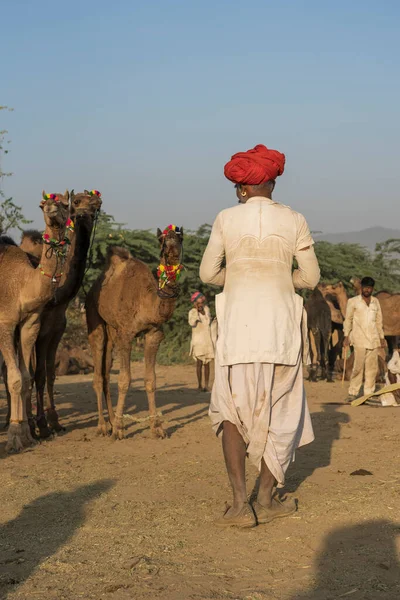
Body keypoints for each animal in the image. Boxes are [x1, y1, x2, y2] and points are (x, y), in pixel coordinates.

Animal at [0, 192, 69, 450]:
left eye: (64, 204)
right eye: (43, 204)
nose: (51, 208)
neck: (23, 284)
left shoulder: (30, 323)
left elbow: (26, 376)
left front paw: (25, 433)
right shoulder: (5, 323)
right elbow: (15, 378)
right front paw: (14, 436)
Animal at [33, 189, 102, 436]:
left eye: (96, 203)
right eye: (77, 201)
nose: (83, 214)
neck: (57, 298)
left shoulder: (56, 331)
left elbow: (50, 374)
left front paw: (54, 422)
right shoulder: (38, 331)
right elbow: (36, 374)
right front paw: (41, 425)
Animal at [86, 223, 184, 438]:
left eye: (180, 238)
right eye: (162, 240)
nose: (172, 248)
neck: (146, 302)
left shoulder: (153, 334)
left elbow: (151, 380)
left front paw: (157, 428)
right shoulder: (126, 334)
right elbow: (124, 380)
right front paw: (119, 430)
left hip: (112, 331)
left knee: (106, 373)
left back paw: (111, 420)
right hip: (94, 318)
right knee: (98, 373)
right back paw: (103, 426)